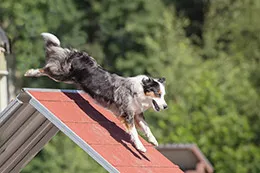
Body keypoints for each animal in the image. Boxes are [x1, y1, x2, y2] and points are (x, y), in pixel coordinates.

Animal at [23, 32, 167, 153]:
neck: (138, 92)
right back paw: (30, 72)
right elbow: (135, 133)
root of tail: (78, 54)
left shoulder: (137, 114)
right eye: (158, 94)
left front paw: (153, 140)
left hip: (69, 79)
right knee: (46, 69)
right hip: (61, 74)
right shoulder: (128, 114)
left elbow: (147, 128)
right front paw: (140, 147)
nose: (166, 106)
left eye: (163, 95)